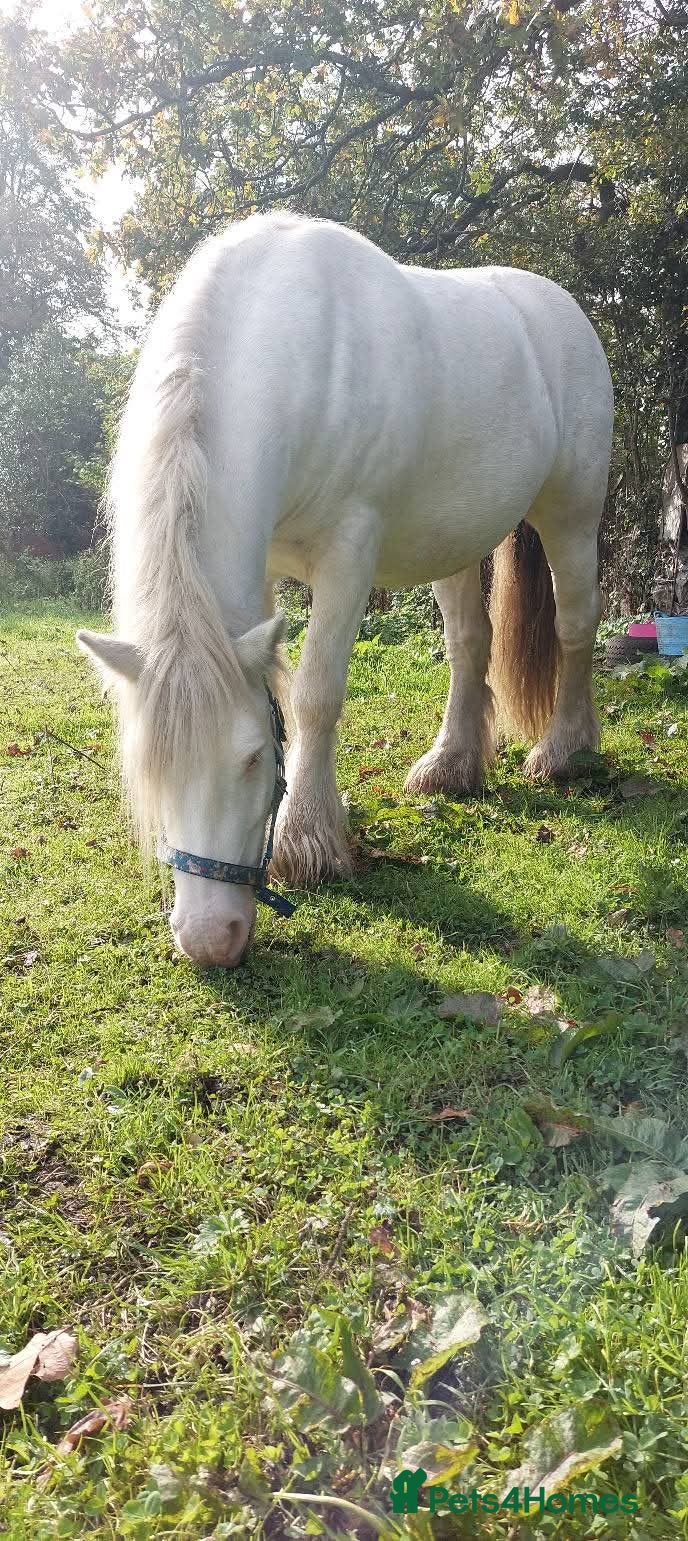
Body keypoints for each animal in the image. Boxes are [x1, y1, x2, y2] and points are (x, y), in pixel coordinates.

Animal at [77, 212, 613, 967]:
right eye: (151, 771)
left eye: (251, 757)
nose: (210, 940)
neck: (290, 349)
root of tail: (560, 309)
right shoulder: (266, 569)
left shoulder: (348, 555)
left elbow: (314, 694)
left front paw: (308, 842)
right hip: (453, 538)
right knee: (469, 644)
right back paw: (450, 765)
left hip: (571, 516)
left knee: (575, 625)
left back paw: (563, 750)